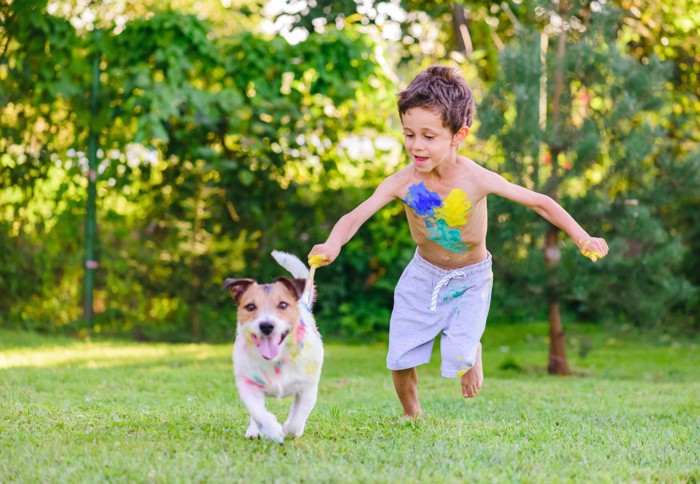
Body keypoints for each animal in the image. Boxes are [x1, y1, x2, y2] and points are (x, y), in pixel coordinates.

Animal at [223, 251, 324, 444]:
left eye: (283, 305)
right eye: (250, 306)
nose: (266, 326)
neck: (276, 360)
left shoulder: (307, 389)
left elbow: (297, 418)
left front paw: (289, 430)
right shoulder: (247, 385)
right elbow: (258, 413)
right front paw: (272, 429)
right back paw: (254, 431)